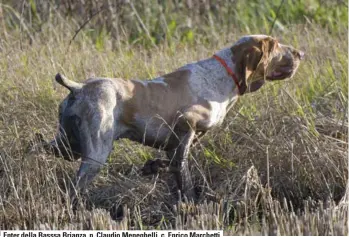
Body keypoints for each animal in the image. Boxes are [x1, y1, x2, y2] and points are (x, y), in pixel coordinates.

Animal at [42, 34, 304, 199]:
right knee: (74, 188)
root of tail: (79, 88)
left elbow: (170, 163)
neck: (223, 76)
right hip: (95, 154)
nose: (300, 52)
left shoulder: (180, 140)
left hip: (67, 145)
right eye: (275, 45)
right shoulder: (186, 125)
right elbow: (182, 170)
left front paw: (153, 167)